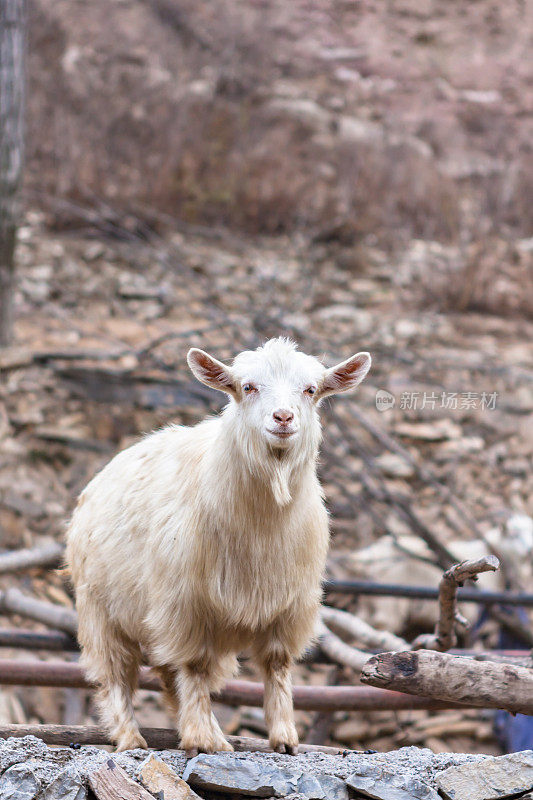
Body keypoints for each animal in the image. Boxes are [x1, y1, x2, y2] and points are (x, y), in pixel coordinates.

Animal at [65, 338, 370, 756]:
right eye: (247, 387)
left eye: (310, 390)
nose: (283, 417)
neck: (261, 526)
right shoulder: (185, 606)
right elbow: (193, 666)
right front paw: (197, 738)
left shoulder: (289, 606)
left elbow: (276, 666)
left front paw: (284, 738)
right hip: (100, 611)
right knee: (117, 675)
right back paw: (133, 738)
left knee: (168, 674)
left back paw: (216, 736)